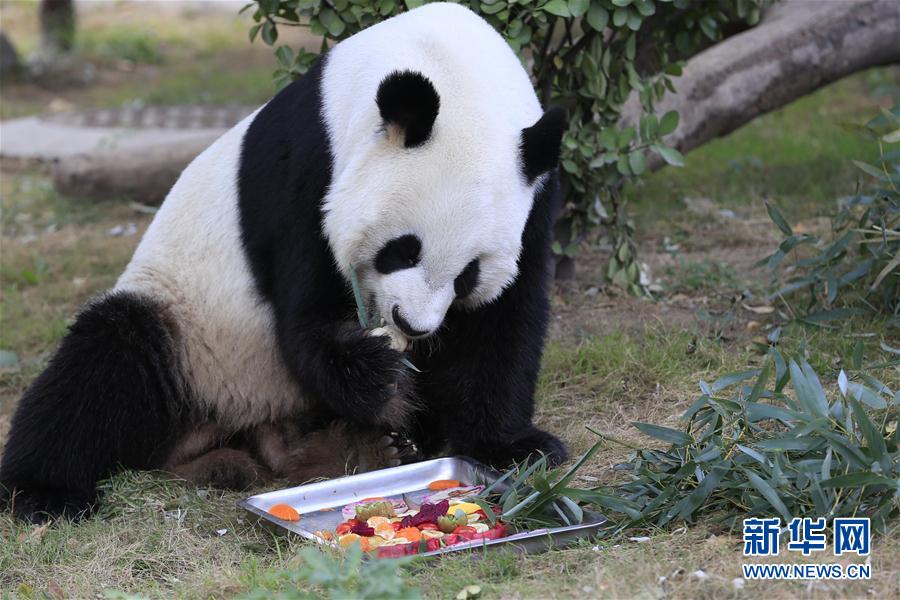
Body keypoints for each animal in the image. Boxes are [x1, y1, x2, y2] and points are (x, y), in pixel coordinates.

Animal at [0, 2, 568, 524]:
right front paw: (380, 376)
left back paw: (357, 449)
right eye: (403, 249)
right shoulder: (312, 166)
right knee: (105, 361)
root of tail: (221, 431)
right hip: (189, 330)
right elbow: (304, 319)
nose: (412, 325)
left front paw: (516, 446)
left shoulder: (535, 195)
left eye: (468, 273)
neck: (449, 66)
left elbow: (504, 321)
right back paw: (47, 493)